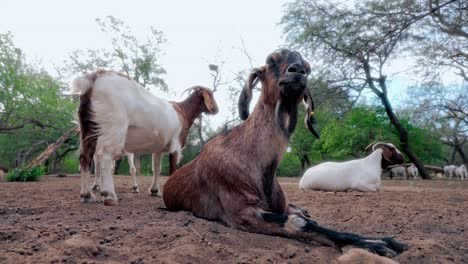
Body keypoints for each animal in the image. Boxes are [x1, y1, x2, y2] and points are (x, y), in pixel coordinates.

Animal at [70, 70, 219, 206]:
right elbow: (173, 169)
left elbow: (157, 169)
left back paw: (87, 195)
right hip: (113, 126)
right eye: (211, 94)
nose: (216, 109)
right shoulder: (175, 145)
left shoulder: (158, 149)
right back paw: (109, 195)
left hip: (88, 128)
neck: (183, 111)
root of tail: (94, 77)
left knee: (85, 157)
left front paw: (155, 191)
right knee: (105, 155)